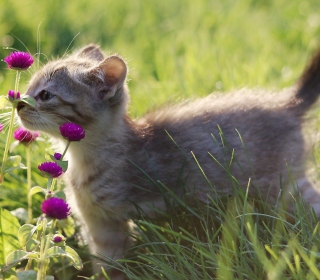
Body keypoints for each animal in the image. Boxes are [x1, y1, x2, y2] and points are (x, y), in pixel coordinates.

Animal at [16, 44, 320, 276]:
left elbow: (112, 267)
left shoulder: (111, 224)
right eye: (29, 87)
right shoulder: (98, 226)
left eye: (45, 95)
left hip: (282, 188)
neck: (83, 160)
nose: (18, 102)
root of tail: (287, 105)